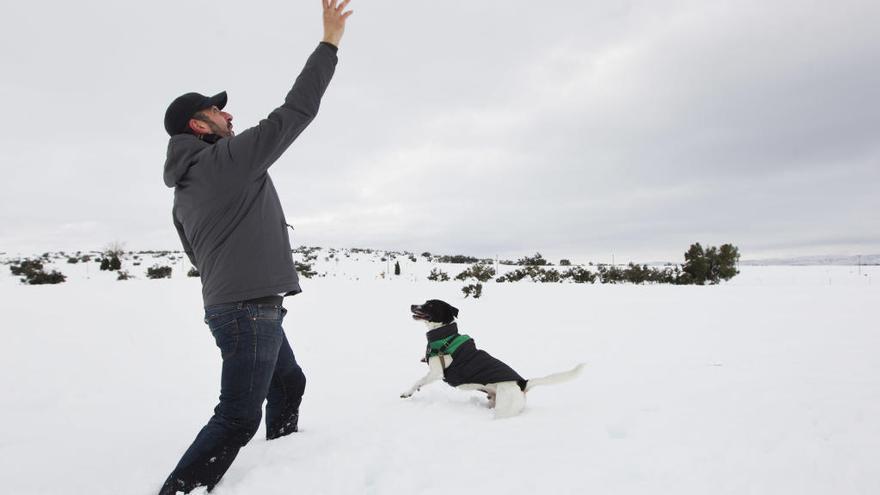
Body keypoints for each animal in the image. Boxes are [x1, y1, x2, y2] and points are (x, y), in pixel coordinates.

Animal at [400, 298, 584, 418]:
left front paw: (407, 393)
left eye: (430, 305)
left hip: (503, 410)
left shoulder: (437, 372)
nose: (412, 305)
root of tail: (522, 383)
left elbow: (418, 381)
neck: (446, 337)